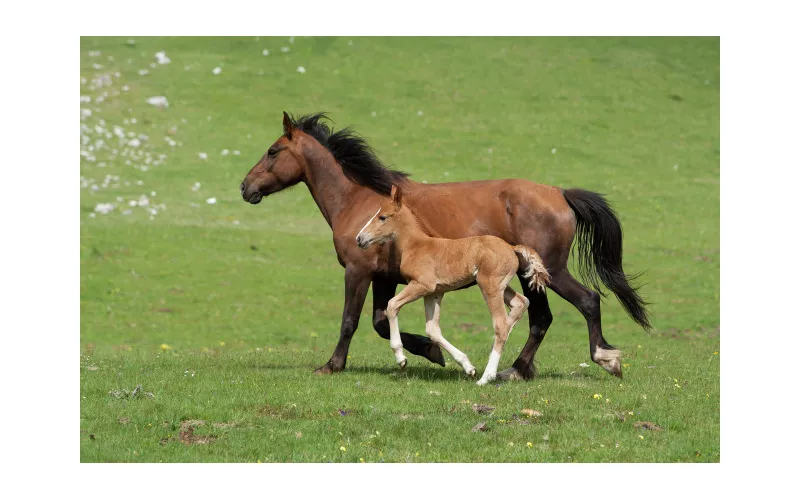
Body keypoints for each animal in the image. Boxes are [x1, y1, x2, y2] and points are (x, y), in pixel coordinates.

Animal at [355, 184, 551, 385]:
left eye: (382, 217)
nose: (360, 239)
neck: (416, 246)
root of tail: (512, 248)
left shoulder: (421, 285)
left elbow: (392, 305)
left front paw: (401, 358)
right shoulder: (434, 293)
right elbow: (432, 329)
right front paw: (468, 367)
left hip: (489, 285)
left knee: (500, 324)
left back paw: (486, 377)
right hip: (499, 286)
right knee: (520, 303)